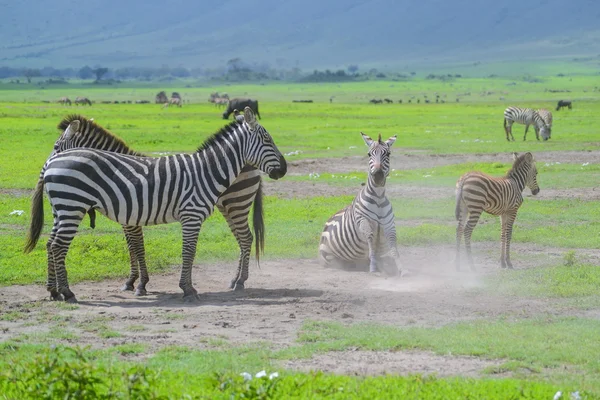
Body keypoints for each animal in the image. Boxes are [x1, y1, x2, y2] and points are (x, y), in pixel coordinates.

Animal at [23, 108, 286, 302]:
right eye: (267, 139)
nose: (283, 169)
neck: (207, 170)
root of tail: (53, 164)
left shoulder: (141, 217)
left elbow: (144, 248)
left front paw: (142, 284)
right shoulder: (190, 215)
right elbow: (184, 251)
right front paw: (186, 289)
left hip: (63, 209)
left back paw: (54, 292)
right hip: (70, 207)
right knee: (57, 246)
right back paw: (66, 293)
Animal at [316, 133, 400, 276]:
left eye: (388, 154)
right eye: (369, 154)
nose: (378, 176)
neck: (378, 198)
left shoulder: (389, 225)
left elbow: (393, 246)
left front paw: (399, 268)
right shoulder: (363, 221)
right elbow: (371, 240)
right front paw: (373, 267)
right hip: (329, 255)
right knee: (341, 263)